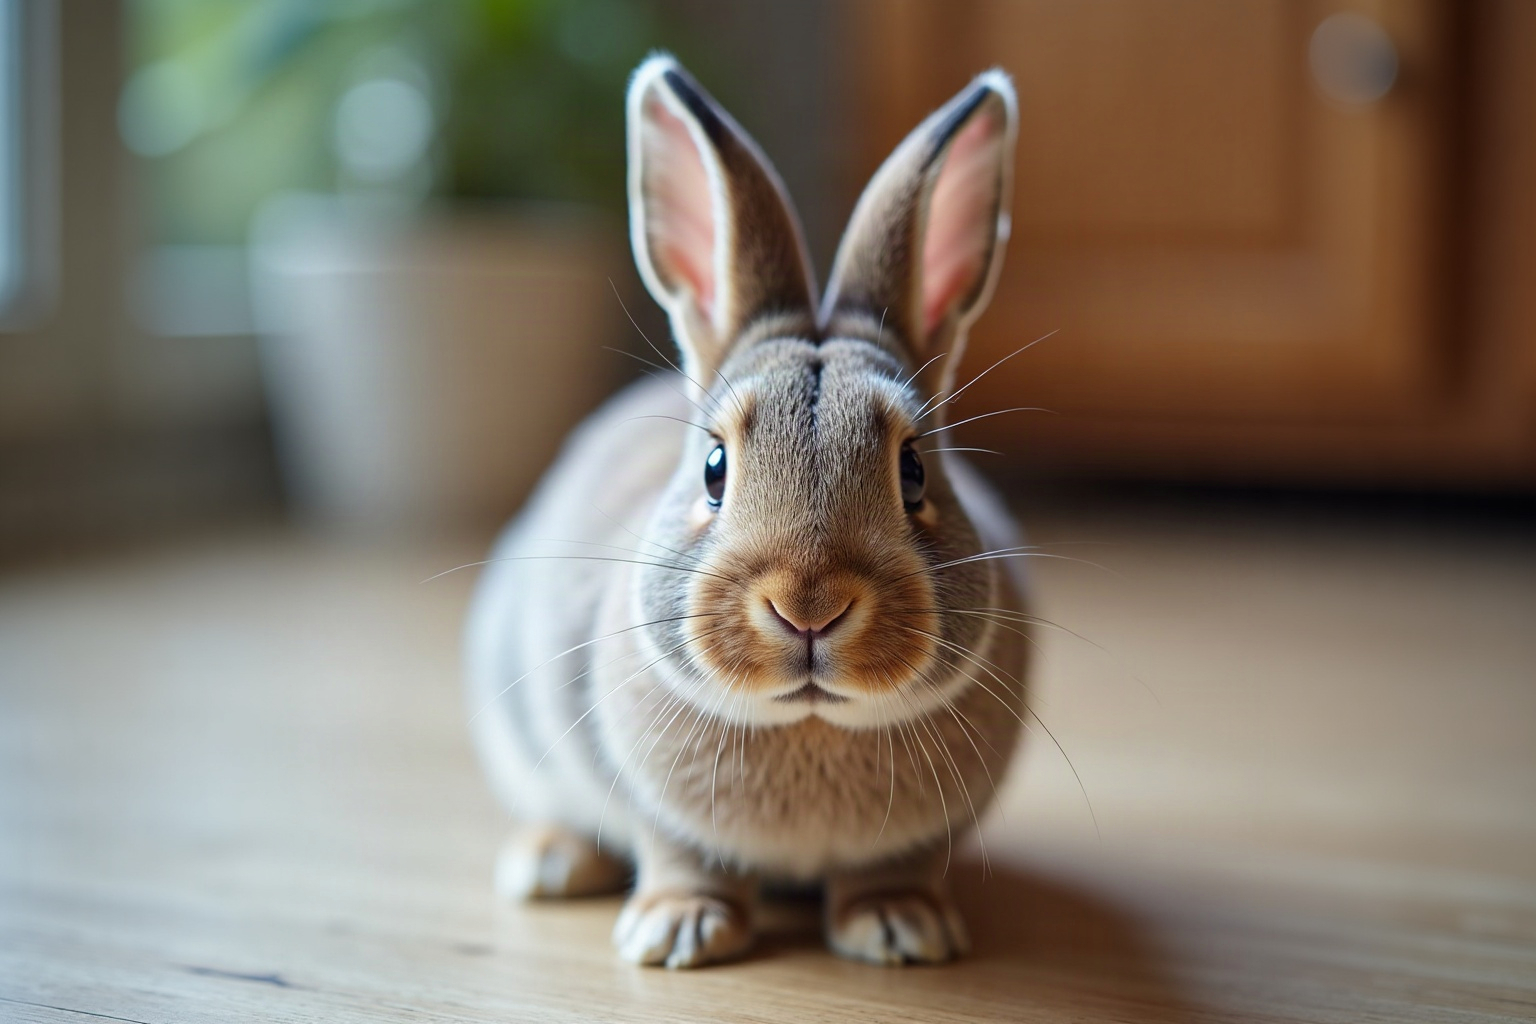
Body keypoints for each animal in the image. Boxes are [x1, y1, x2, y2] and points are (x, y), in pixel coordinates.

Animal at [464, 54, 1027, 968]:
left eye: (913, 472)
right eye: (713, 469)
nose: (809, 606)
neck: (811, 725)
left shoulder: (919, 835)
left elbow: (893, 868)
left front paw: (903, 929)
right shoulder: (660, 812)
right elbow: (683, 856)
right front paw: (677, 932)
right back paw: (549, 865)